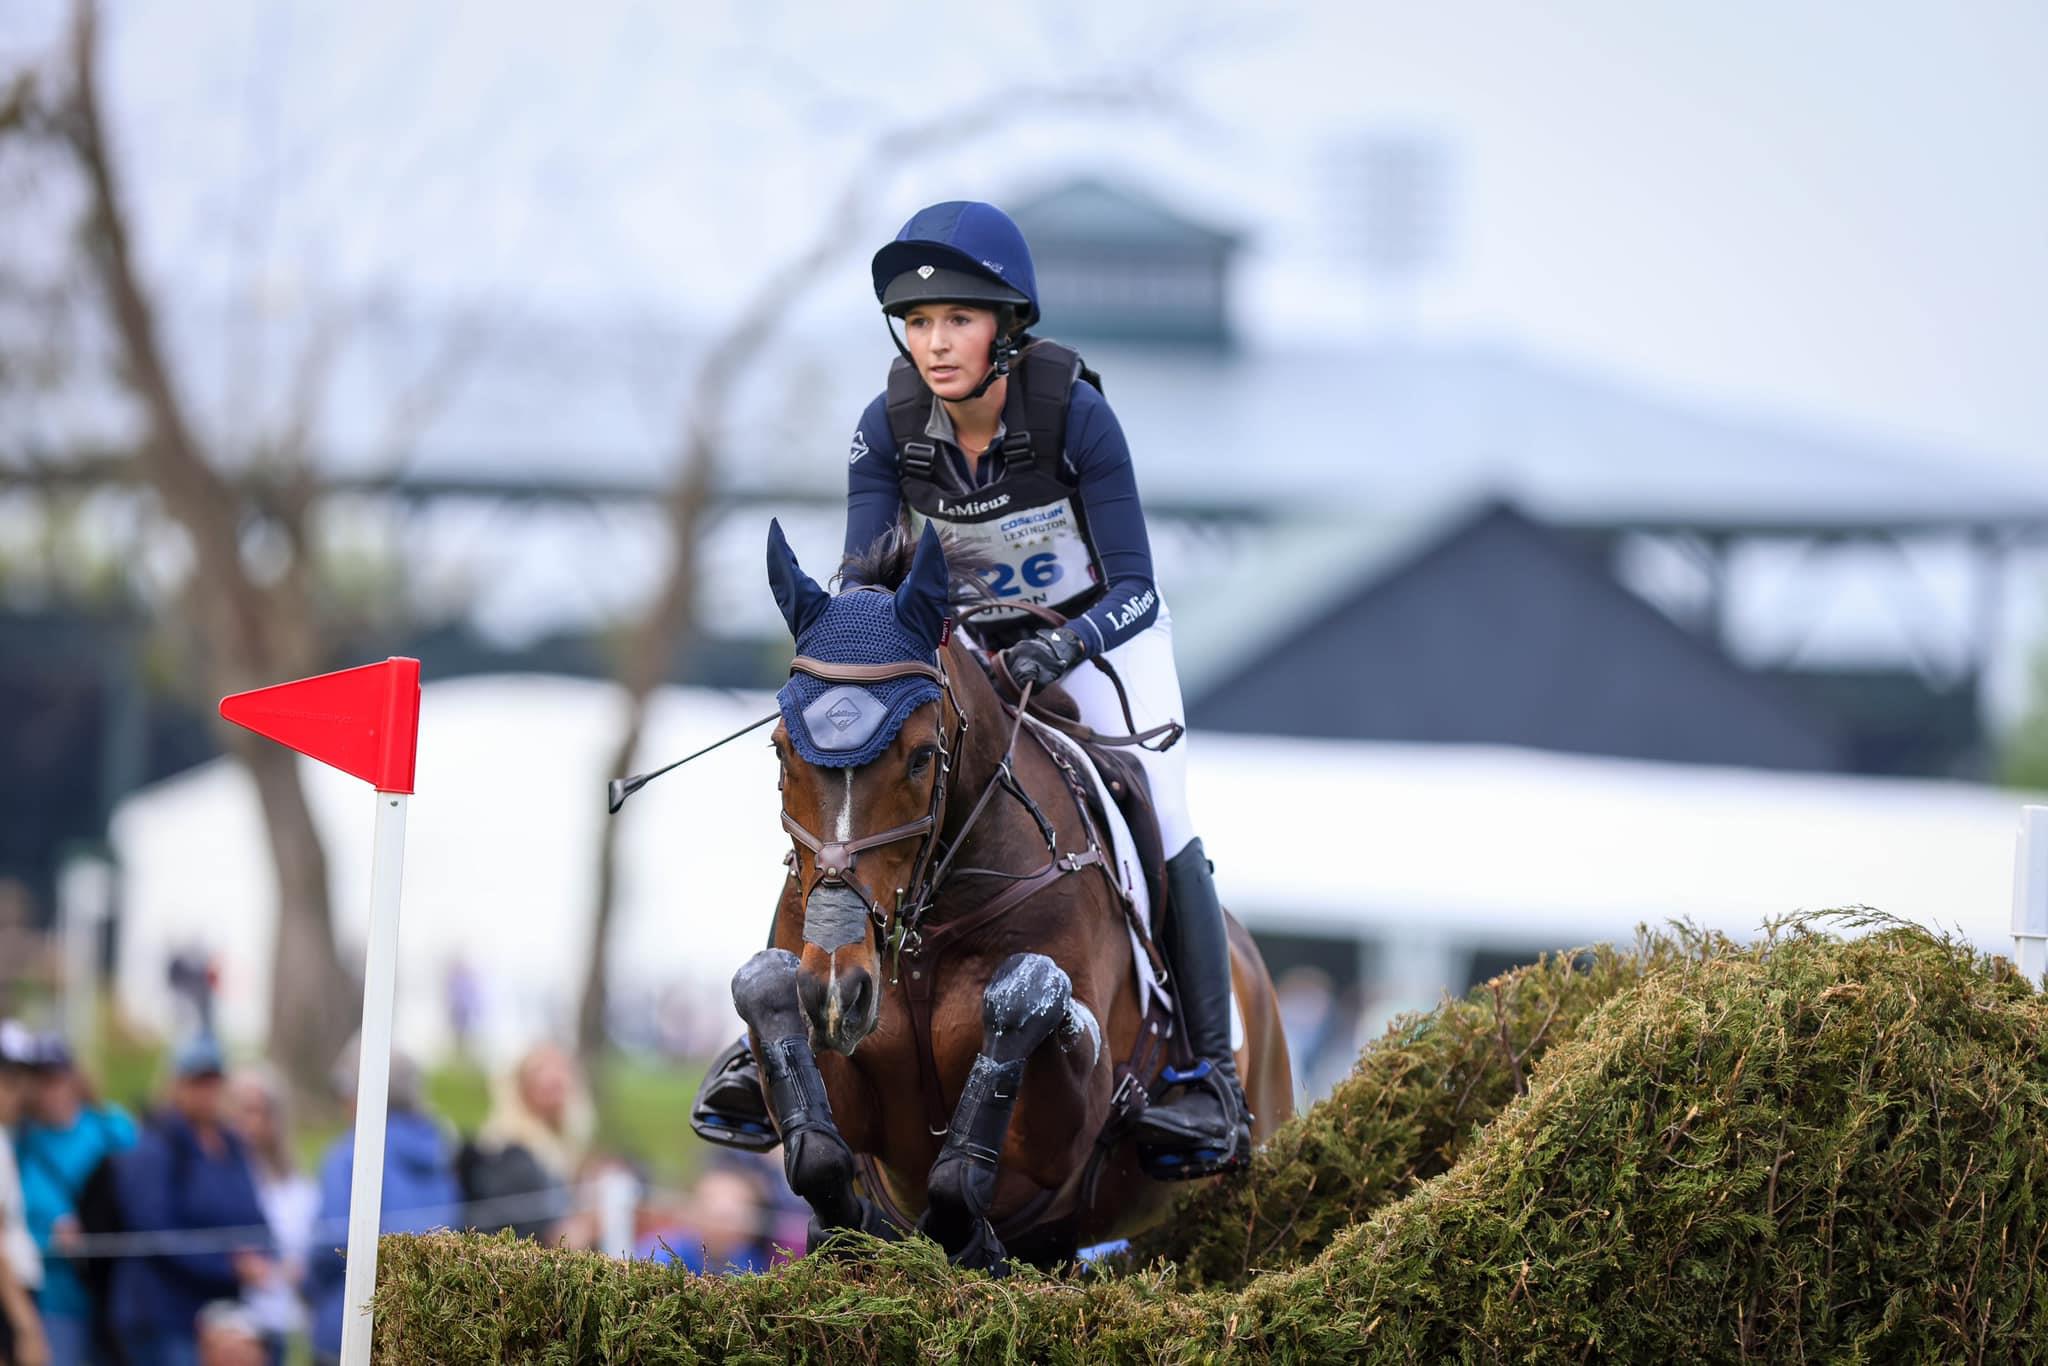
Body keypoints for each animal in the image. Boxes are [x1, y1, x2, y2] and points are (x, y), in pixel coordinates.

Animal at [729, 524, 1286, 1269]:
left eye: (921, 757)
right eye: (781, 748)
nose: (841, 992)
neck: (924, 936)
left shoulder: (1068, 1136)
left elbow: (1029, 994)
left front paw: (964, 1231)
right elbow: (770, 1002)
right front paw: (852, 1227)